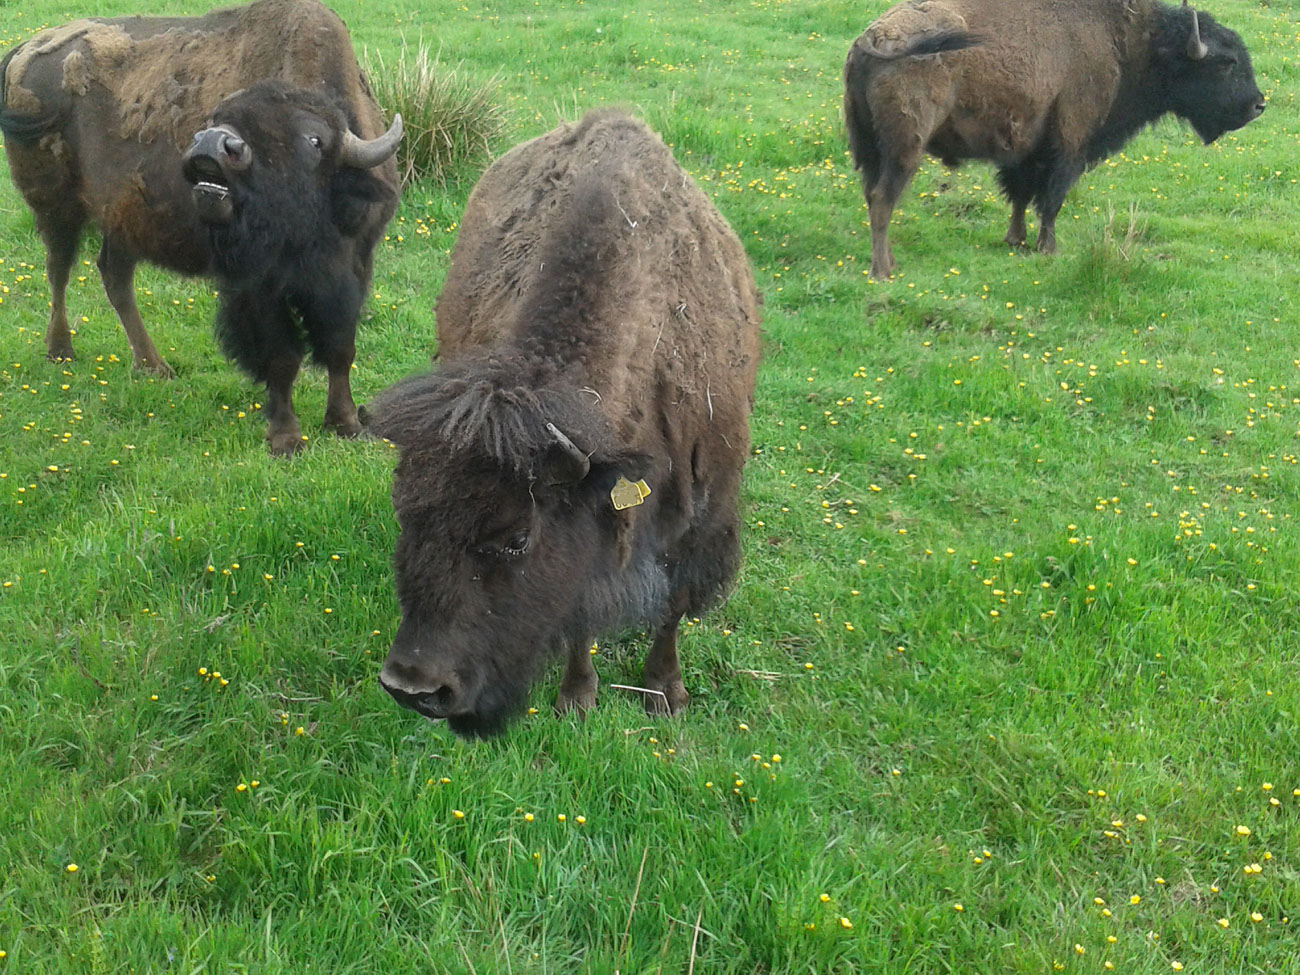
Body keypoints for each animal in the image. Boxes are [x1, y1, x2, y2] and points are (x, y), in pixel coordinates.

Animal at [0, 0, 400, 457]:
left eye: (313, 140)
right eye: (218, 118)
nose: (212, 143)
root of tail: (26, 48)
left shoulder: (353, 269)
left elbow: (340, 347)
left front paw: (347, 424)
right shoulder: (255, 285)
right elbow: (281, 357)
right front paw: (286, 439)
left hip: (122, 221)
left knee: (114, 277)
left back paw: (154, 367)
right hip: (56, 206)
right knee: (59, 270)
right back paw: (62, 350)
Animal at [369, 110, 759, 738]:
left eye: (516, 538)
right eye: (406, 514)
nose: (413, 686)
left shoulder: (700, 515)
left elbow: (673, 606)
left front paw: (665, 692)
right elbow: (580, 617)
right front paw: (577, 698)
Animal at [847, 0, 1263, 278]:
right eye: (1227, 63)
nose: (1258, 105)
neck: (1129, 41)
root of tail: (873, 39)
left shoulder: (1024, 151)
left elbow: (1019, 195)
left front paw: (1015, 240)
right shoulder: (1070, 143)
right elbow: (1051, 200)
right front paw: (1049, 250)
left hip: (869, 149)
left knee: (871, 195)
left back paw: (888, 262)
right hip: (905, 149)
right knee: (883, 198)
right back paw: (882, 271)